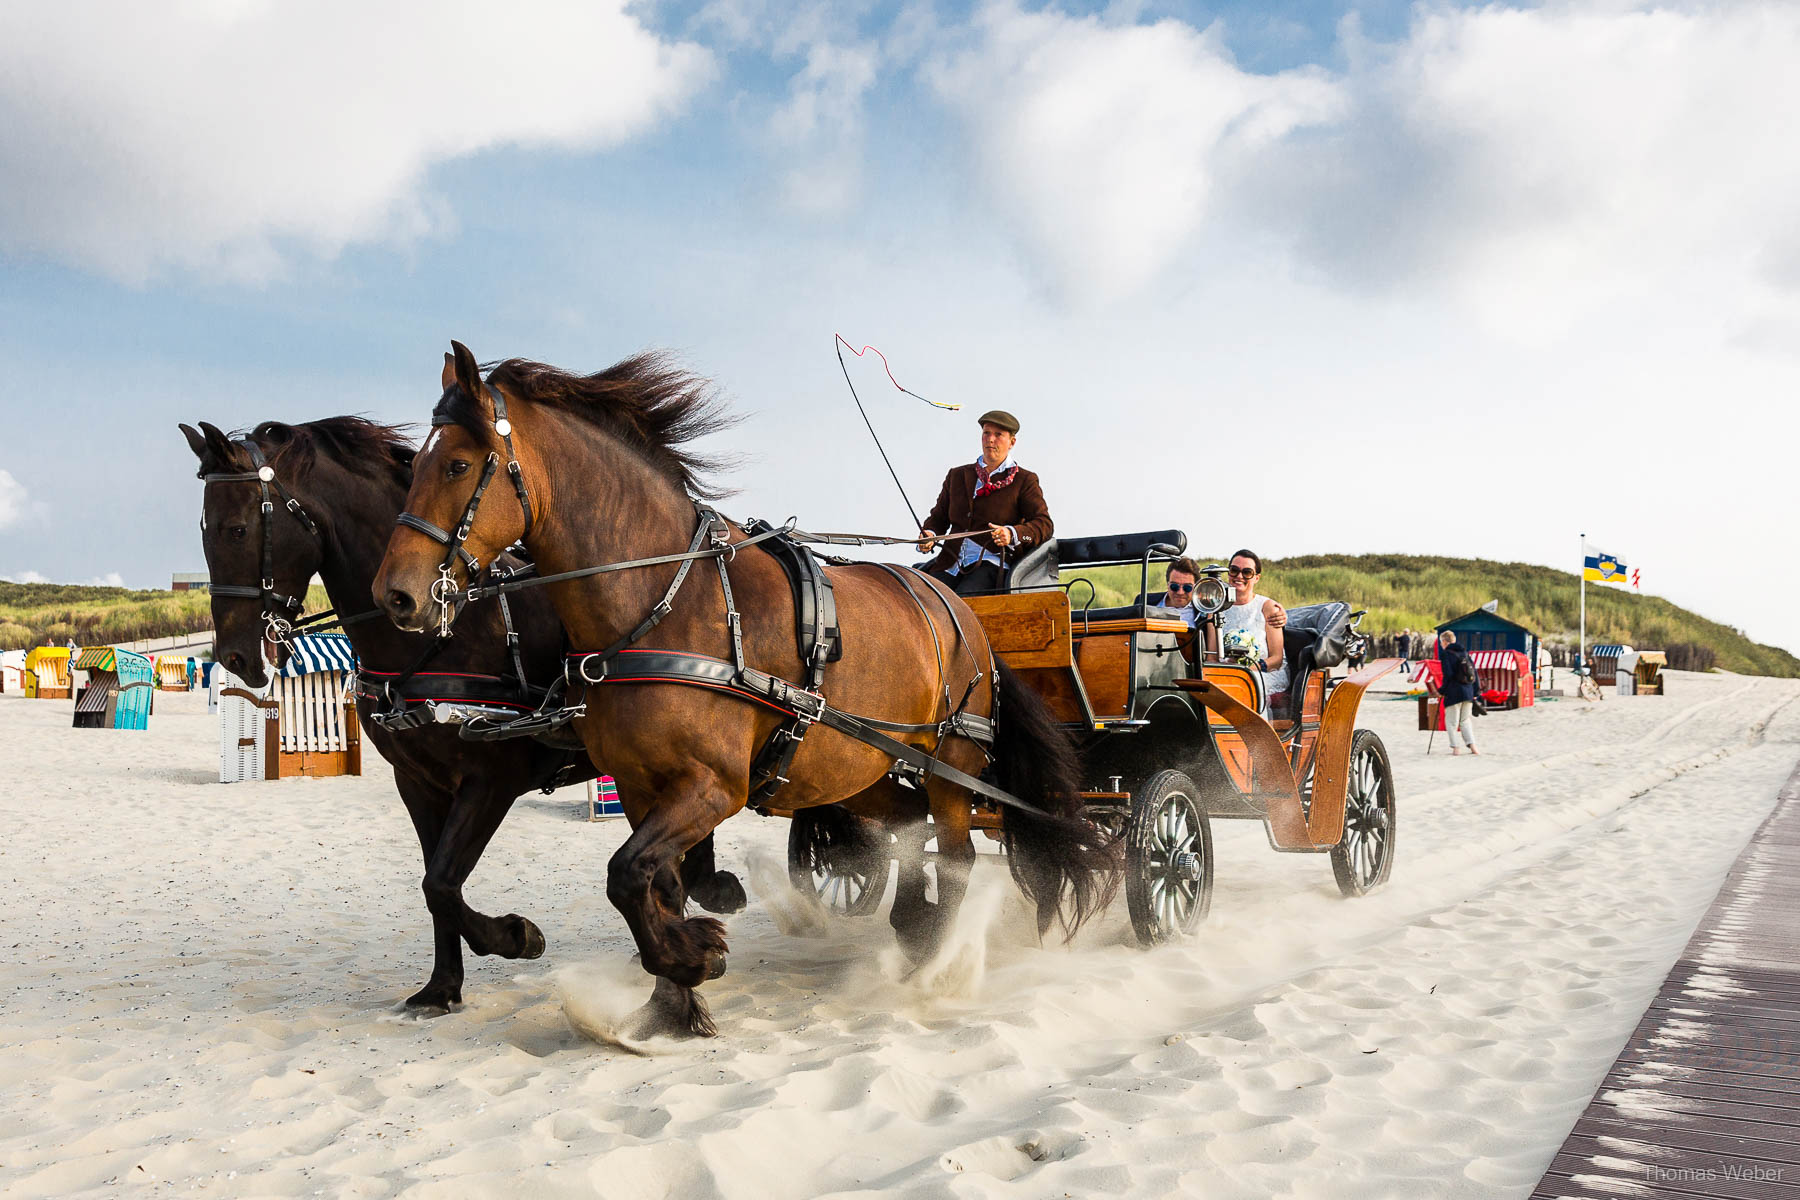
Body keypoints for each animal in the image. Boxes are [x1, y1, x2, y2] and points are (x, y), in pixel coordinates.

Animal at [182, 420, 745, 1014]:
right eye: (207, 531)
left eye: (237, 530)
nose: (235, 656)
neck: (443, 634)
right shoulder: (419, 784)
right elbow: (435, 886)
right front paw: (442, 986)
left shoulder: (490, 781)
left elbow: (442, 883)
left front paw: (516, 936)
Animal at [372, 341, 1116, 1036]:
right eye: (413, 466)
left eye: (457, 464)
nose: (395, 596)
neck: (667, 597)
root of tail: (957, 605)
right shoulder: (639, 786)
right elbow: (651, 884)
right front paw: (672, 1005)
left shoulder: (713, 785)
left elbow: (625, 876)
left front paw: (692, 956)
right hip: (860, 765)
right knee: (908, 827)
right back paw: (910, 926)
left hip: (952, 762)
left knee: (954, 854)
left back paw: (932, 962)